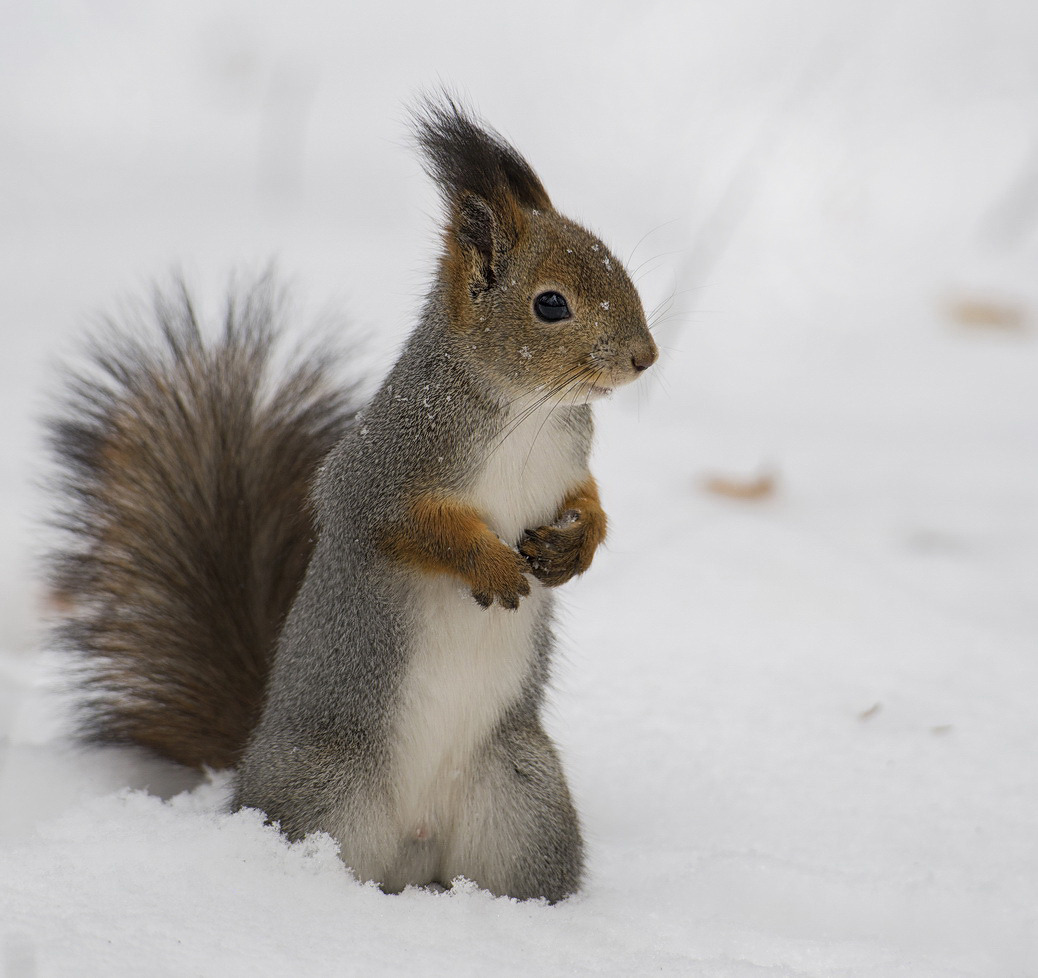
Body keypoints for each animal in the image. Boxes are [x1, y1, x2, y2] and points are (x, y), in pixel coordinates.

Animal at [48, 97, 656, 905]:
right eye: (550, 305)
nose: (645, 357)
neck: (525, 413)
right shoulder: (377, 474)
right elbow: (408, 526)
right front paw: (491, 565)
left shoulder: (565, 467)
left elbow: (588, 502)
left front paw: (574, 546)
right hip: (325, 793)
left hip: (525, 800)